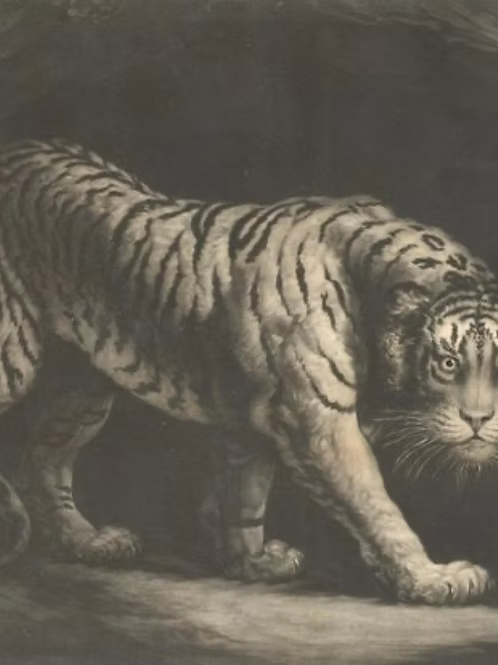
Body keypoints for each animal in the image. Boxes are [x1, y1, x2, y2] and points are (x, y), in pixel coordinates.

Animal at [0, 138, 496, 605]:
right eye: (448, 363)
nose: (480, 420)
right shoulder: (318, 422)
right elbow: (376, 505)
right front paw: (432, 578)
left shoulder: (254, 422)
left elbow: (245, 496)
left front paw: (252, 563)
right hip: (15, 358)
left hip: (81, 391)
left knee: (42, 461)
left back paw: (90, 542)